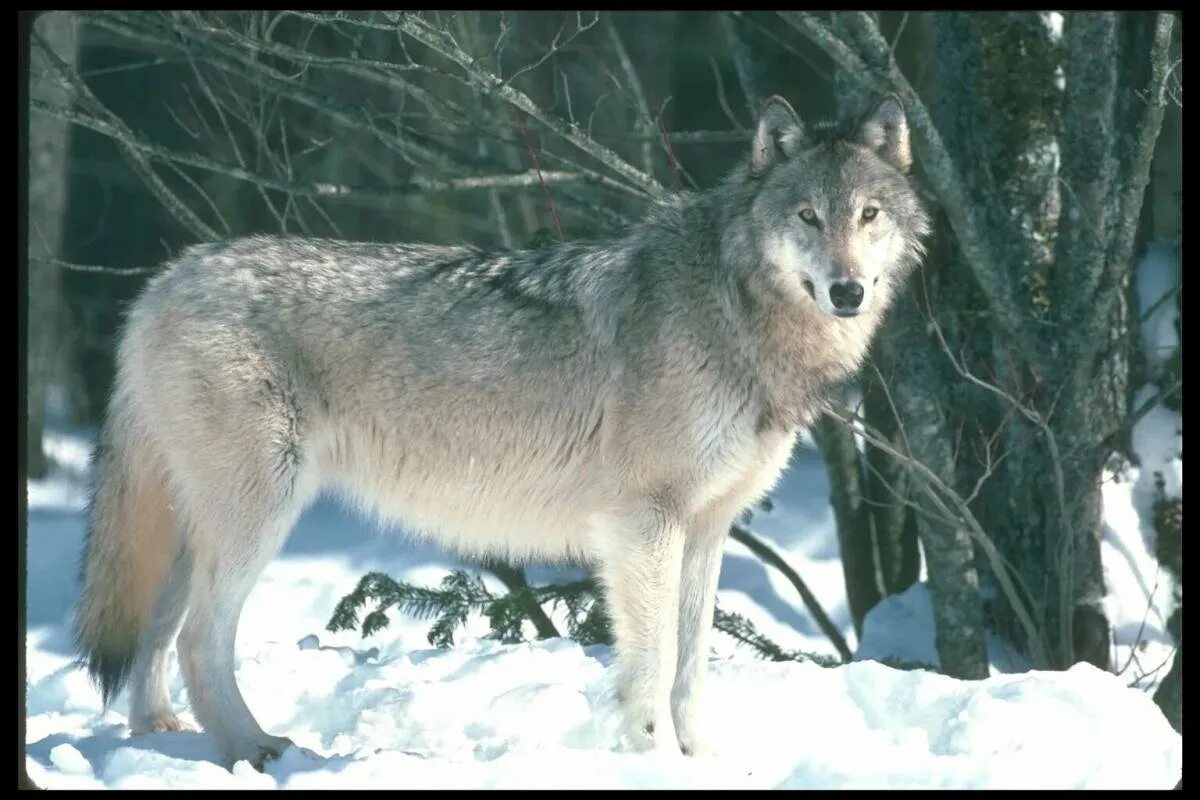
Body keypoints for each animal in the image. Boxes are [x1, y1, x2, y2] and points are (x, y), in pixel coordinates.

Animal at [75, 94, 931, 767]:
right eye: (807, 217)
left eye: (868, 216)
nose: (848, 291)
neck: (734, 310)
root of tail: (165, 279)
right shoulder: (643, 524)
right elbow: (653, 665)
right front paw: (650, 760)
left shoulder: (709, 528)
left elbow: (691, 670)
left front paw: (705, 762)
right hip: (259, 516)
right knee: (199, 638)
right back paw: (254, 750)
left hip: (199, 527)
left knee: (156, 628)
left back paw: (160, 734)